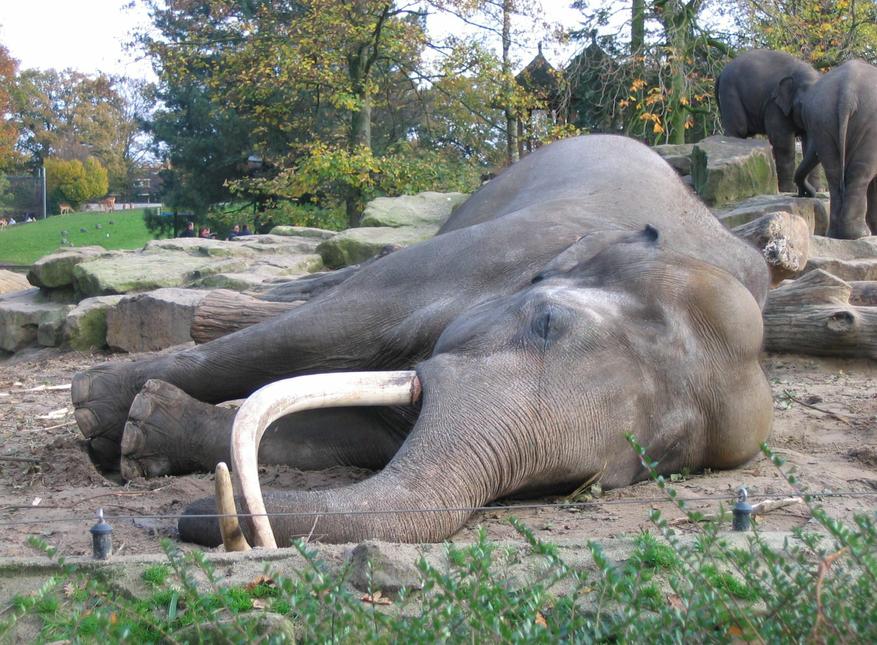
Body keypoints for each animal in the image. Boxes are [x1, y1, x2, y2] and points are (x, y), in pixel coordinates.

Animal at [71, 134, 773, 547]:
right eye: (546, 323)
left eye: (585, 482)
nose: (199, 518)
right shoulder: (490, 254)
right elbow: (317, 337)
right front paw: (99, 410)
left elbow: (351, 437)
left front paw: (144, 430)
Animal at [717, 49, 820, 193]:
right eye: (801, 104)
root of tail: (721, 73)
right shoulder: (774, 104)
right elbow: (782, 143)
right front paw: (788, 191)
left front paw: (817, 191)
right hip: (730, 92)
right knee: (739, 129)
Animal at [793, 60, 877, 239]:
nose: (804, 193)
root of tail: (848, 91)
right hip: (870, 128)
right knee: (859, 174)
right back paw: (859, 234)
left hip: (822, 120)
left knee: (833, 172)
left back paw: (837, 234)